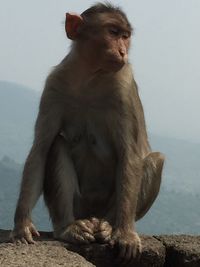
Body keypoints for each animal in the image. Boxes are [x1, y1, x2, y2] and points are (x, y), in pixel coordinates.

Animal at [11, 3, 164, 264]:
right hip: (79, 206)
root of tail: (92, 214)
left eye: (126, 36)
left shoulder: (123, 88)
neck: (90, 76)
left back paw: (108, 227)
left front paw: (125, 234)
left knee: (155, 159)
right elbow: (41, 149)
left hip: (108, 206)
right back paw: (68, 228)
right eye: (113, 32)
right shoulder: (54, 85)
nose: (122, 51)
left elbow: (130, 154)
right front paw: (22, 224)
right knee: (57, 145)